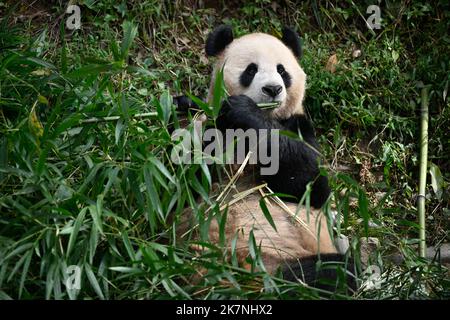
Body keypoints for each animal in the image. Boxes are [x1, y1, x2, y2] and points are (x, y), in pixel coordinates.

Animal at [174, 25, 356, 292]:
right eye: (251, 70)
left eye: (282, 70)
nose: (273, 89)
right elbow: (182, 183)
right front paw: (183, 105)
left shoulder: (298, 126)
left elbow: (310, 185)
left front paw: (244, 111)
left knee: (336, 272)